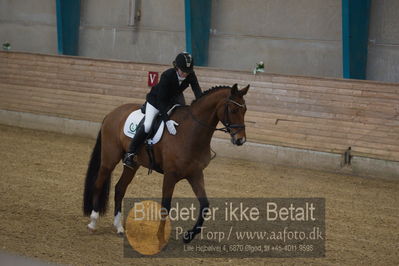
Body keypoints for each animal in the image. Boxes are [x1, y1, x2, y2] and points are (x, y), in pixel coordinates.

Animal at [83, 83, 250, 243]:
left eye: (245, 110)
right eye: (234, 110)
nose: (240, 140)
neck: (191, 132)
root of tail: (112, 113)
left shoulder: (195, 174)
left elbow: (204, 205)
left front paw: (189, 236)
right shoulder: (170, 175)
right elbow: (166, 205)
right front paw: (160, 236)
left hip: (133, 164)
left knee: (120, 189)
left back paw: (119, 227)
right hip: (109, 159)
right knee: (99, 183)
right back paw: (93, 222)